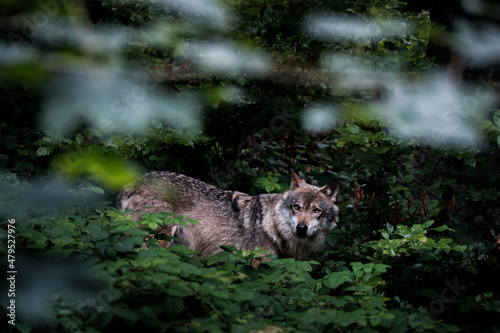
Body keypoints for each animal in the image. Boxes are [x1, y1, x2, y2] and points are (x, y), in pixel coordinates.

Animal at [116, 170, 340, 260]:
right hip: (156, 241)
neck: (273, 226)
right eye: (296, 207)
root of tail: (135, 181)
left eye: (316, 211)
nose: (301, 228)